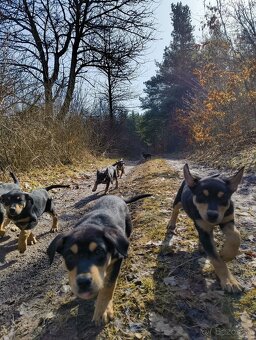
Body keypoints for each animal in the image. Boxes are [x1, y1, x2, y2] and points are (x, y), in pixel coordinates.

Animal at [47, 194, 151, 324]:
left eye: (99, 252)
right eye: (69, 256)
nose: (83, 282)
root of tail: (118, 197)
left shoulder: (117, 260)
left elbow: (108, 285)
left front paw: (103, 310)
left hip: (128, 227)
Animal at [168, 164, 244, 292]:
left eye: (223, 198)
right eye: (201, 196)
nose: (212, 215)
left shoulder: (227, 220)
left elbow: (235, 235)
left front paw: (227, 254)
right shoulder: (204, 229)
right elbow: (216, 259)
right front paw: (229, 281)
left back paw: (201, 247)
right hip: (178, 199)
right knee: (175, 209)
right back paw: (171, 223)